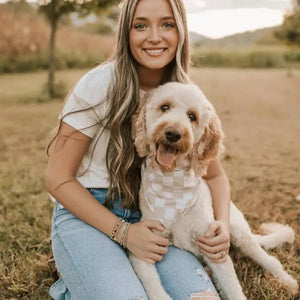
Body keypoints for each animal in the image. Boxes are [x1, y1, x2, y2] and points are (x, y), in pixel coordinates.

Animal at [129, 82, 298, 300]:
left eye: (192, 116)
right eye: (164, 107)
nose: (173, 133)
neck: (171, 188)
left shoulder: (215, 247)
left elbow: (234, 290)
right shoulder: (143, 246)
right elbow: (152, 286)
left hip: (238, 232)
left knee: (269, 259)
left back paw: (288, 282)